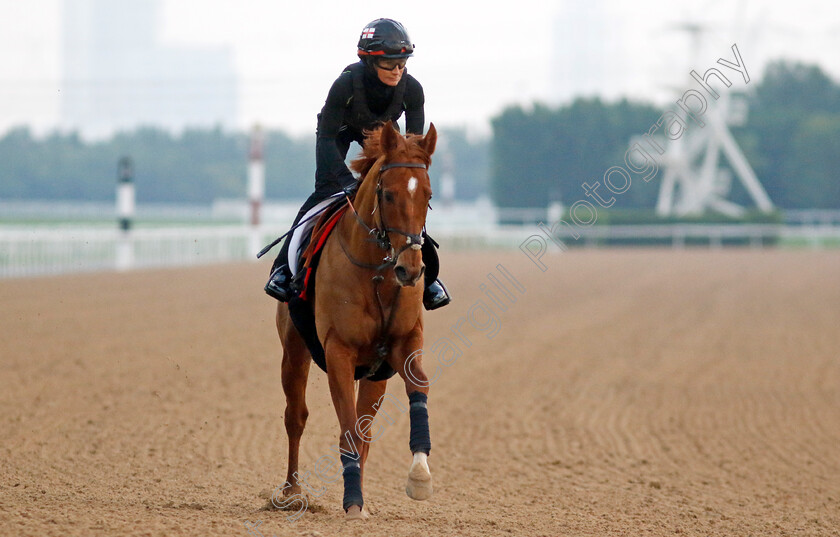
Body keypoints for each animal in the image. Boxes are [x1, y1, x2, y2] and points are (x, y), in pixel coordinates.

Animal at [276, 121, 440, 520]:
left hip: (373, 375)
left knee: (363, 431)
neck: (377, 273)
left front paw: (419, 476)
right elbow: (345, 429)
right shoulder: (339, 350)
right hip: (295, 352)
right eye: (388, 194)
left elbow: (419, 387)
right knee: (296, 417)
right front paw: (351, 502)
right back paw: (292, 492)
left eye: (428, 195)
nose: (411, 270)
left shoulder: (401, 345)